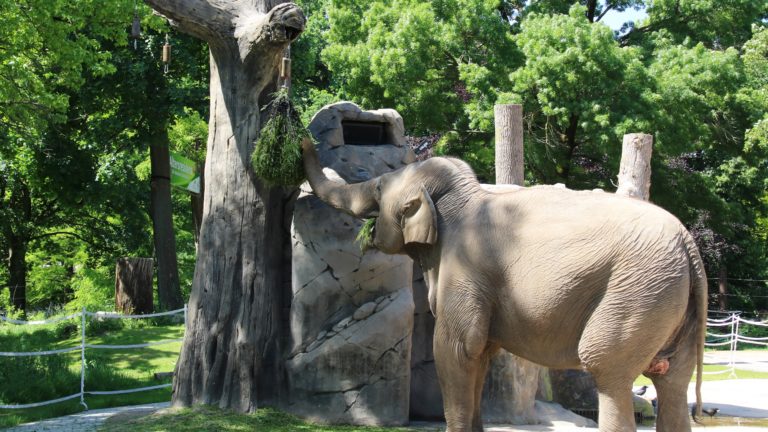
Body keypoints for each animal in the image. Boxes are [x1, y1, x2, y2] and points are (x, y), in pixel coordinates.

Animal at [300, 138, 707, 432]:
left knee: (608, 372)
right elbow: (481, 355)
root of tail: (689, 246)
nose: (301, 136)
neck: (462, 197)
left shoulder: (466, 269)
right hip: (668, 303)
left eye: (380, 188)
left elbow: (456, 349)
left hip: (636, 295)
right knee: (672, 385)